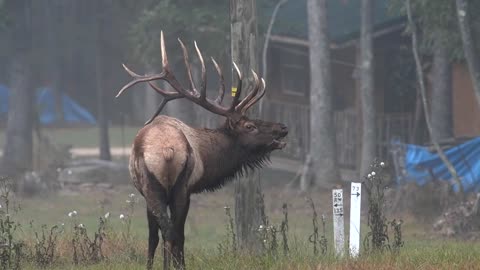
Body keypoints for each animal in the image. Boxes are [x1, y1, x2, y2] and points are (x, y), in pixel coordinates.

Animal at [116, 30, 288, 268]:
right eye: (249, 126)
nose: (283, 128)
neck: (207, 159)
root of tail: (167, 151)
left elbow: (155, 235)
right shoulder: (185, 189)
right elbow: (160, 235)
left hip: (161, 188)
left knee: (170, 232)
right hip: (174, 188)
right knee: (173, 232)